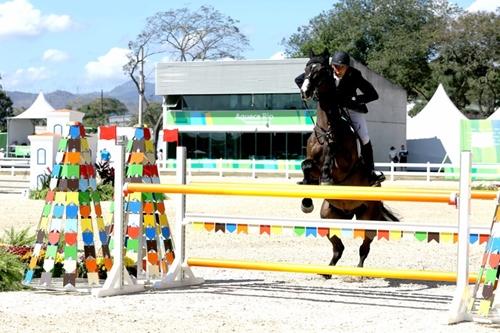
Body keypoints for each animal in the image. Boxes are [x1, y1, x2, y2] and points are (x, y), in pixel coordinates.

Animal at [296, 49, 398, 276]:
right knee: (338, 246)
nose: (305, 91)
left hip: (368, 215)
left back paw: (359, 272)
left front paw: (326, 176)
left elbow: (330, 161)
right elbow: (306, 165)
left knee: (365, 246)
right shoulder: (312, 162)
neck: (327, 128)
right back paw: (327, 271)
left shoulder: (343, 165)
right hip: (329, 215)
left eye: (322, 71)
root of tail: (349, 212)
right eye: (306, 68)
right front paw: (306, 201)